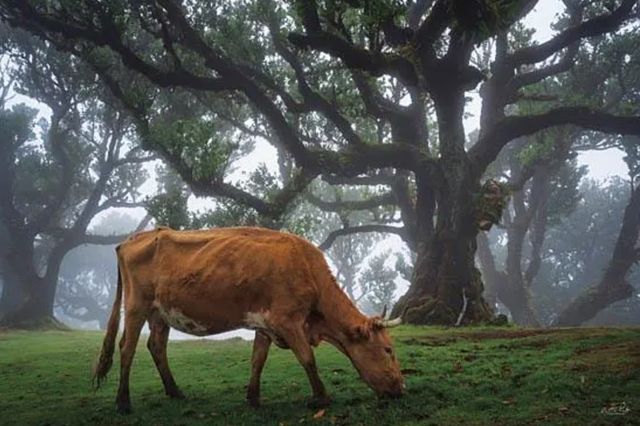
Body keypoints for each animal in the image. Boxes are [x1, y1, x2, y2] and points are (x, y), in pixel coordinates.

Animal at [93, 226, 405, 413]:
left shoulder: (265, 324)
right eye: (388, 349)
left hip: (161, 313)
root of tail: (134, 238)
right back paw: (123, 402)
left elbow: (258, 359)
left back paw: (175, 391)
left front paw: (253, 398)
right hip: (136, 306)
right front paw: (321, 397)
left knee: (156, 346)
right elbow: (307, 358)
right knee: (127, 348)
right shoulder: (287, 321)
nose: (401, 388)